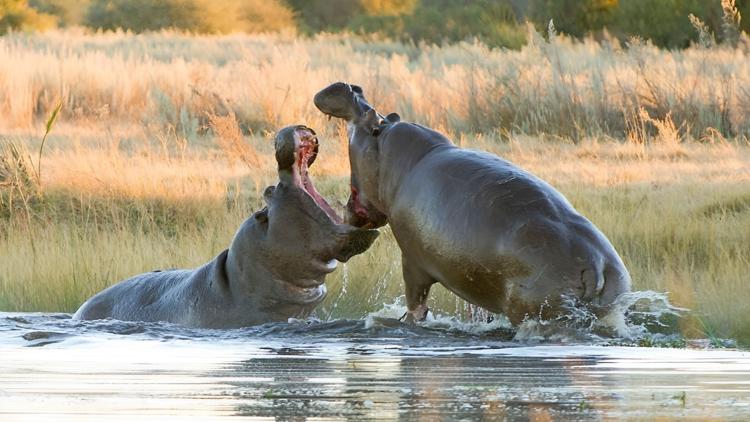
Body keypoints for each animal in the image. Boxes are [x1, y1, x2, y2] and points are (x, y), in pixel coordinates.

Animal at [314, 83, 632, 326]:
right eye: (387, 113)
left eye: (369, 119)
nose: (352, 88)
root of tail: (595, 265)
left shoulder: (412, 259)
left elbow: (416, 301)